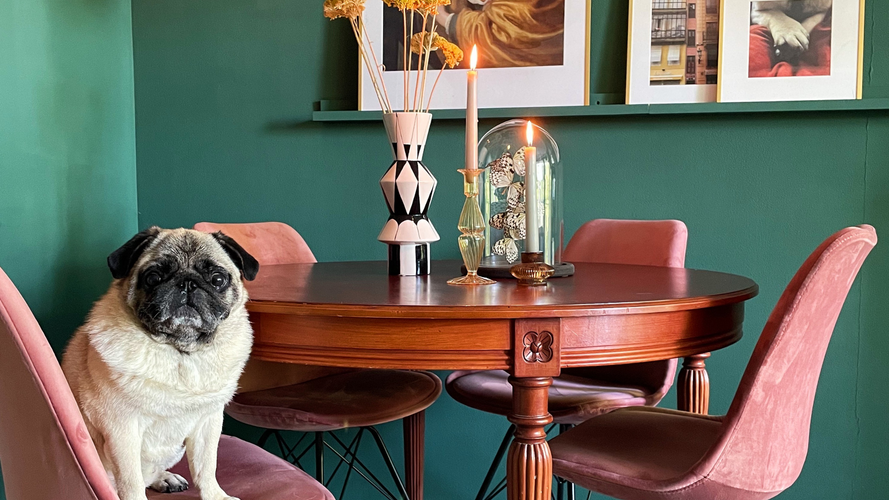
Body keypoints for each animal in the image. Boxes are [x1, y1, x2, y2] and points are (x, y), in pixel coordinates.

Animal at [62, 227, 259, 500]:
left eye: (218, 279)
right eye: (153, 278)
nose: (187, 283)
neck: (181, 353)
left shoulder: (208, 424)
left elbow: (206, 467)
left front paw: (215, 495)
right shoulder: (122, 431)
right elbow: (131, 483)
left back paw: (165, 478)